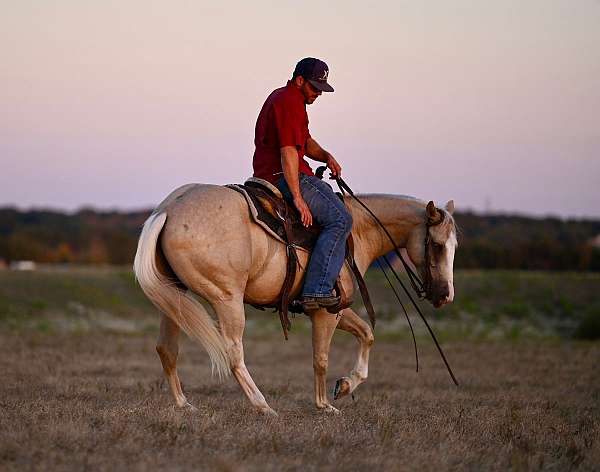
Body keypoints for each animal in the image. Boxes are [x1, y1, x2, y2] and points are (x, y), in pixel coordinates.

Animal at [134, 183, 458, 412]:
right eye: (437, 245)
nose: (445, 295)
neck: (356, 232)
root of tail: (168, 209)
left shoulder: (336, 309)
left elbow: (366, 334)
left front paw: (346, 386)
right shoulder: (325, 312)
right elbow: (321, 358)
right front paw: (324, 405)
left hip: (175, 298)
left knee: (166, 349)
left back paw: (183, 404)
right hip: (227, 300)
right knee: (233, 353)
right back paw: (262, 406)